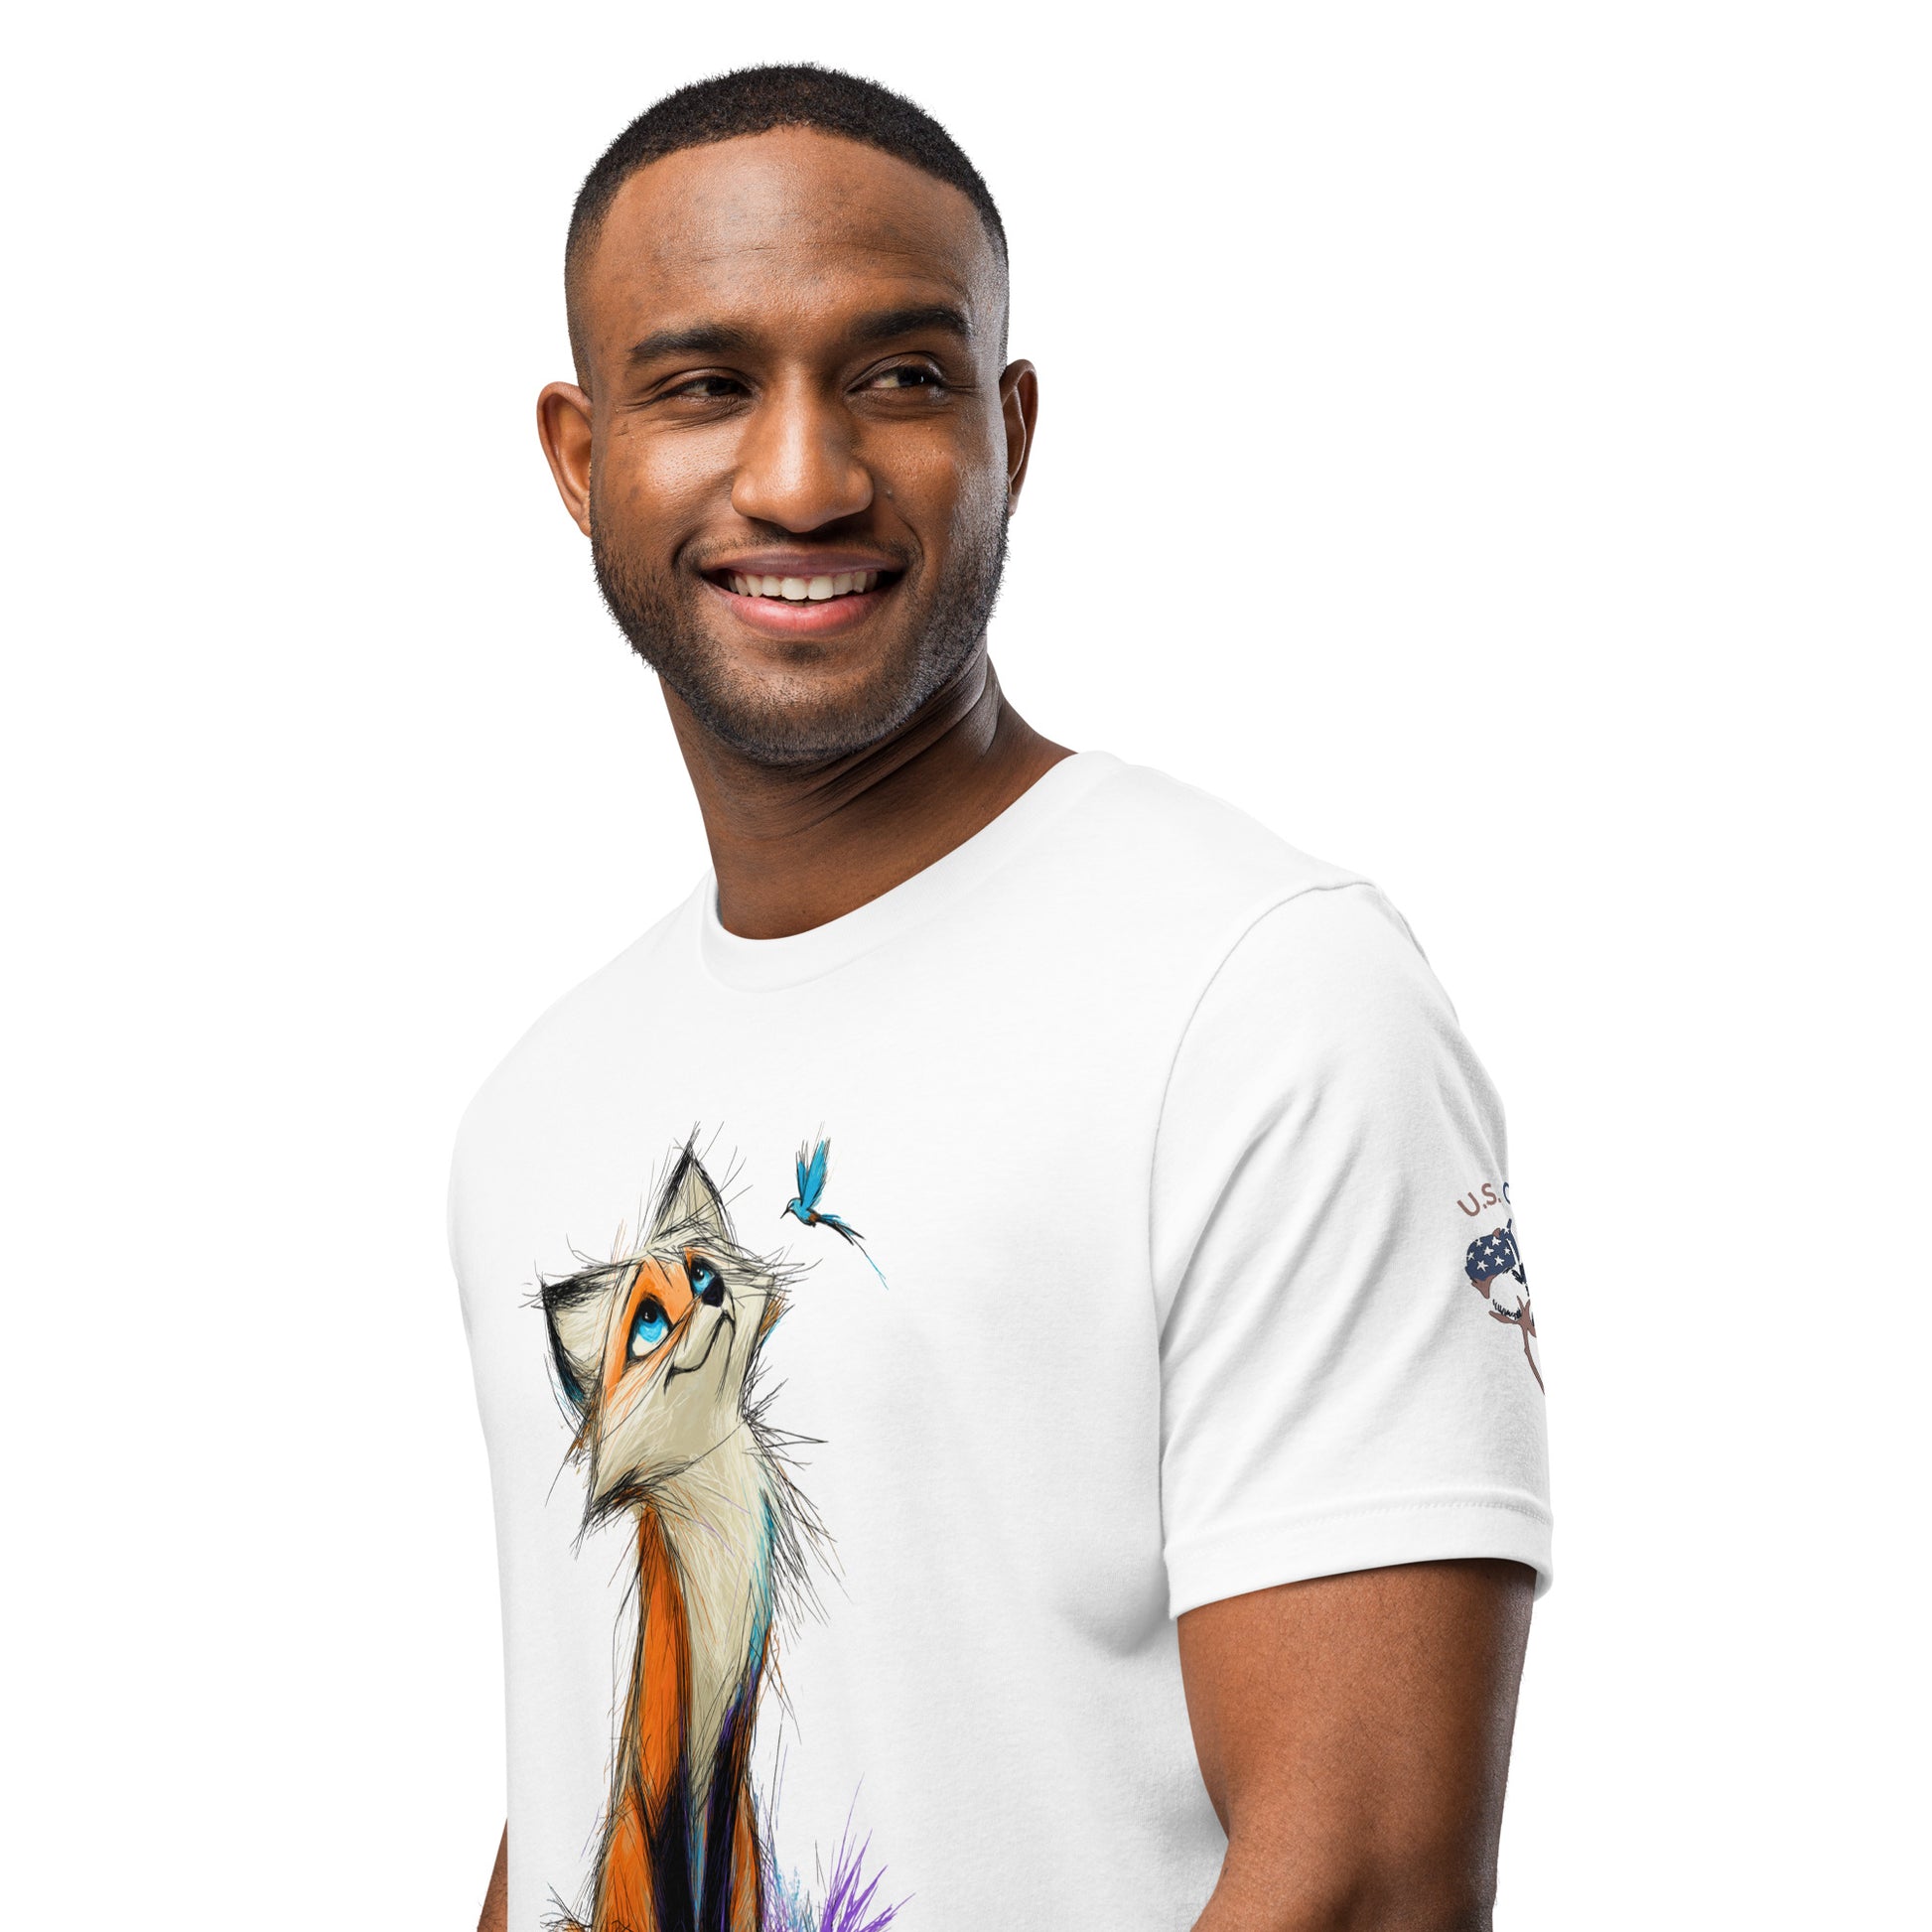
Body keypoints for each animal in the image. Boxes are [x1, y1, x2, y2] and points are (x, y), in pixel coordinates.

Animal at [540, 1144, 818, 1932]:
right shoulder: (667, 1749)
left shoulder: (731, 1740)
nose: (715, 1288)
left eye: (698, 1271)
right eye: (649, 1324)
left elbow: (716, 1878)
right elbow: (675, 1887)